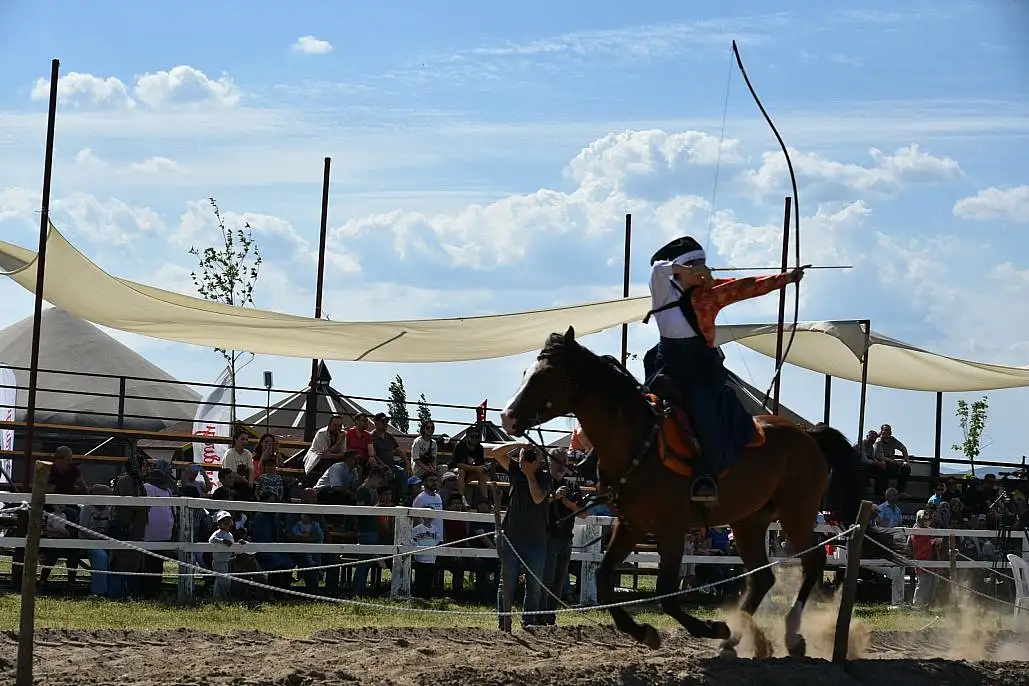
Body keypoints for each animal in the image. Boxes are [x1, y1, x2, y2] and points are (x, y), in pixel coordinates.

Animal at [500, 326, 862, 658]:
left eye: (547, 374)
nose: (508, 417)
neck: (637, 443)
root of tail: (808, 434)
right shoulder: (630, 525)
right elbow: (603, 579)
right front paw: (643, 631)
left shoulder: (671, 528)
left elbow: (667, 594)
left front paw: (710, 627)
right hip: (750, 521)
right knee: (763, 579)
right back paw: (736, 639)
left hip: (796, 513)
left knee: (812, 563)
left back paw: (789, 634)